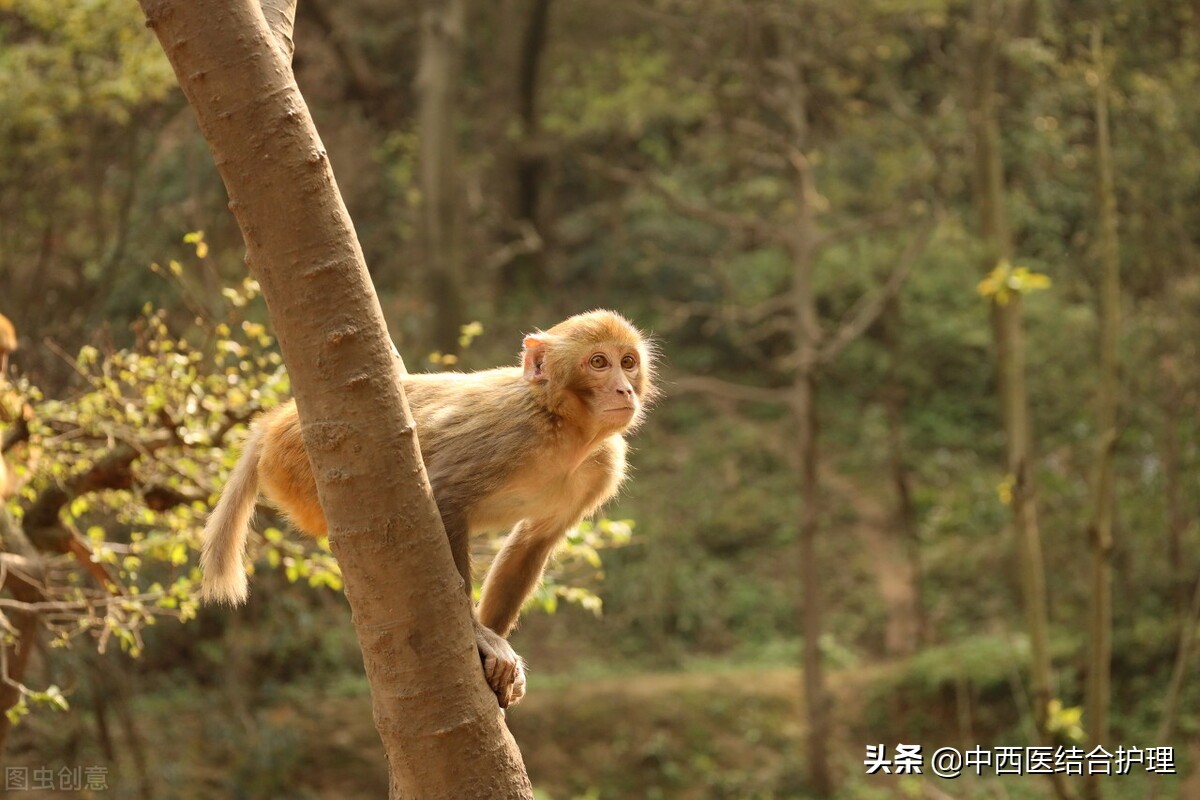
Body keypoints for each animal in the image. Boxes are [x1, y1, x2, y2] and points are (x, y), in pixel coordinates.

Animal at [204, 309, 657, 705]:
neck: (561, 424)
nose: (624, 389)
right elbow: (445, 498)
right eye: (598, 362)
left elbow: (533, 542)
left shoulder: (603, 465)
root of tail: (276, 420)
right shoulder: (510, 434)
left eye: (627, 362)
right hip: (302, 465)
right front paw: (480, 639)